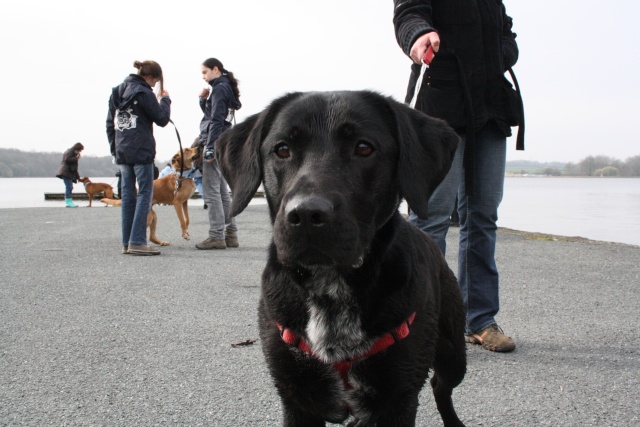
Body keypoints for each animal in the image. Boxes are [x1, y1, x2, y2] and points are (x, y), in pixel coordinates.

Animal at [218, 91, 468, 427]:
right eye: (282, 149)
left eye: (364, 147)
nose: (306, 215)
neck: (331, 287)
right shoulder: (296, 399)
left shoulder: (398, 400)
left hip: (454, 353)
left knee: (440, 383)